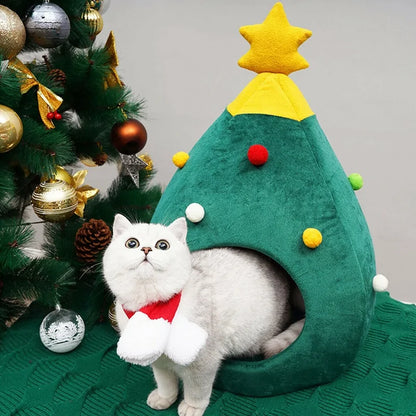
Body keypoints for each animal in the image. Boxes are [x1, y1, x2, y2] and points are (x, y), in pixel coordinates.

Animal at [102, 214, 304, 416]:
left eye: (163, 245)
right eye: (132, 243)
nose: (146, 249)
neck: (151, 307)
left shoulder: (203, 361)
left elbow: (197, 389)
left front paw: (192, 407)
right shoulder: (159, 361)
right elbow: (165, 382)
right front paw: (164, 398)